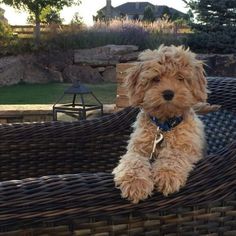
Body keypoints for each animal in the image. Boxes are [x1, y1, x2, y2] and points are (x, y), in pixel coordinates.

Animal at [112, 45, 206, 204]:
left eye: (180, 78)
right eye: (156, 78)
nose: (168, 93)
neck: (164, 126)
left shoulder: (189, 148)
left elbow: (174, 154)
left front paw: (167, 174)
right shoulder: (137, 149)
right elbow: (133, 161)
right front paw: (135, 183)